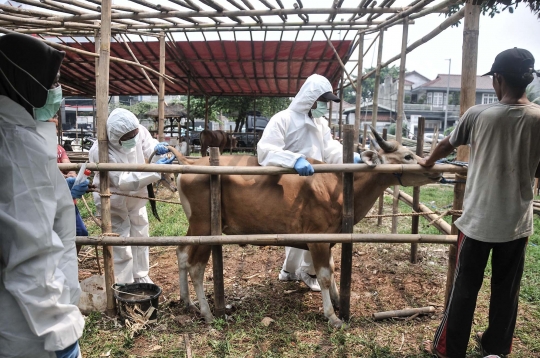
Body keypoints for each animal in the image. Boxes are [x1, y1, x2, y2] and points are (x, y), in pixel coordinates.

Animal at [170, 129, 442, 328]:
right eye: (408, 156)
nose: (437, 171)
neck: (338, 185)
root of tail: (189, 162)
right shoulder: (317, 239)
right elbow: (324, 275)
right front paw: (332, 316)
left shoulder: (330, 238)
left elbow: (332, 270)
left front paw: (338, 300)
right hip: (205, 227)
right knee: (196, 267)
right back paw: (207, 312)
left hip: (195, 225)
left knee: (181, 252)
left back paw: (187, 302)